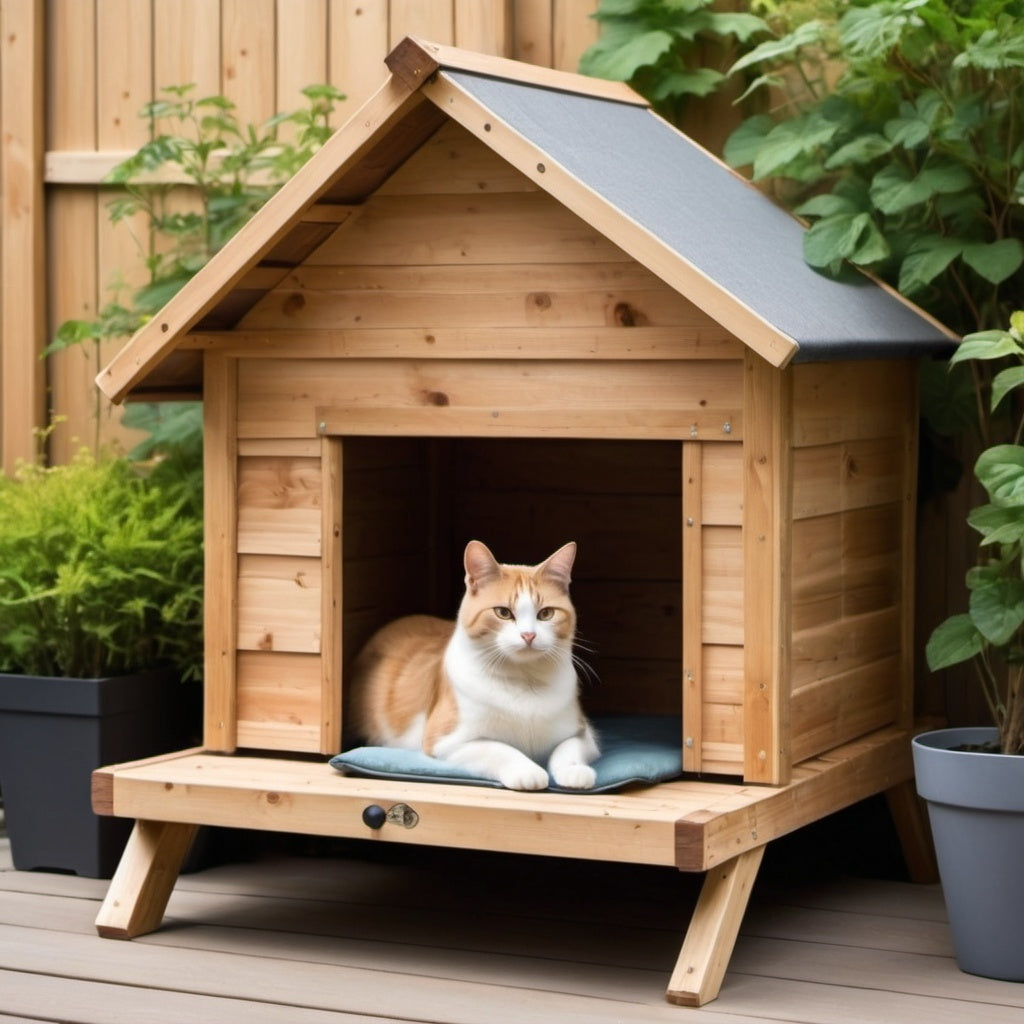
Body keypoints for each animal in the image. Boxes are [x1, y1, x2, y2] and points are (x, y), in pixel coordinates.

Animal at [348, 544, 598, 790]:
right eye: (503, 612)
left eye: (546, 613)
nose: (529, 635)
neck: (524, 680)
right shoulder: (444, 740)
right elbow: (498, 748)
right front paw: (527, 771)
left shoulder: (584, 734)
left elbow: (568, 748)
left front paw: (574, 771)